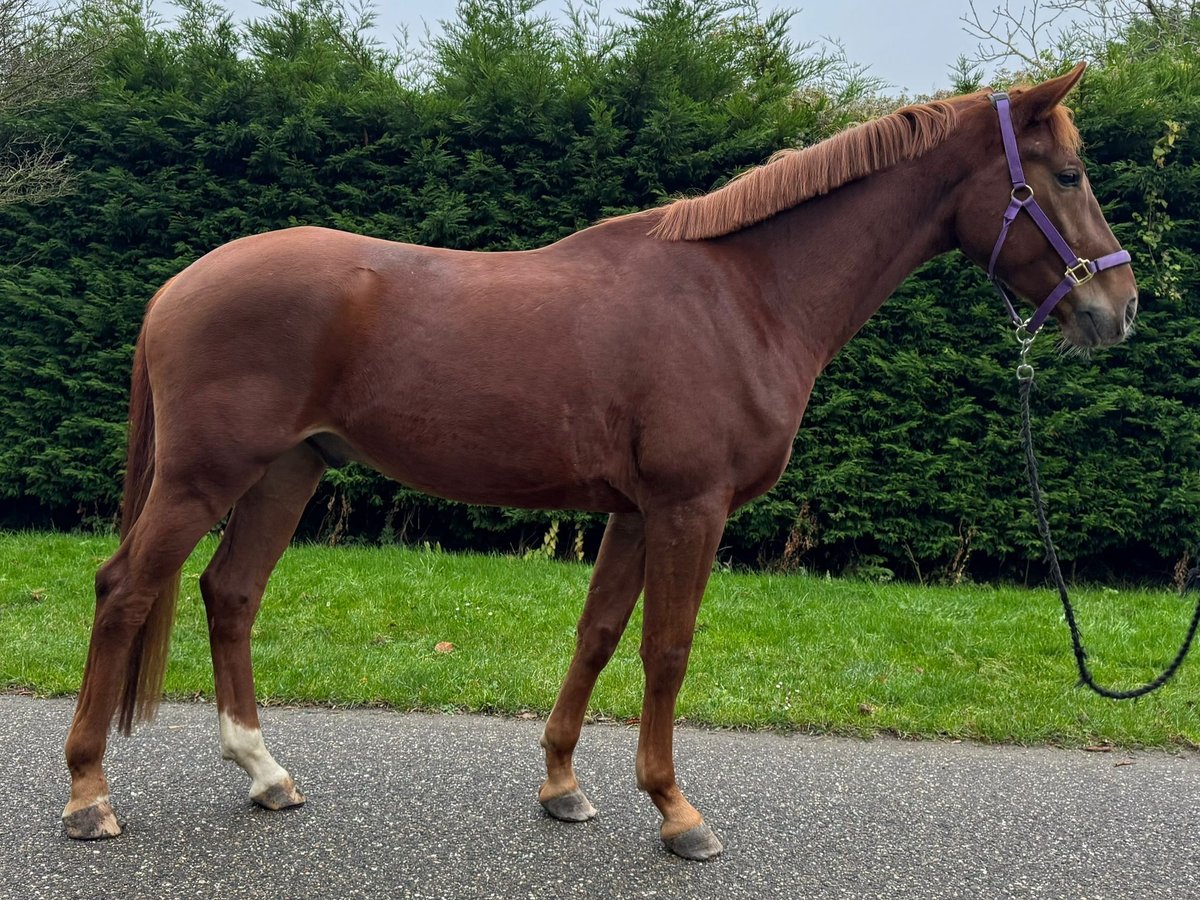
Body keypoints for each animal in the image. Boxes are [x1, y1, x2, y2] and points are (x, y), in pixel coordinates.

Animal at [63, 65, 1132, 859]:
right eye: (1068, 175)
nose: (1117, 310)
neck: (743, 295)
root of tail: (179, 284)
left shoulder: (634, 509)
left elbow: (600, 635)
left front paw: (563, 785)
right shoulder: (691, 507)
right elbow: (667, 649)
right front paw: (677, 813)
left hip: (289, 472)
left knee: (231, 592)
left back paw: (264, 773)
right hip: (203, 478)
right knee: (124, 590)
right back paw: (88, 794)